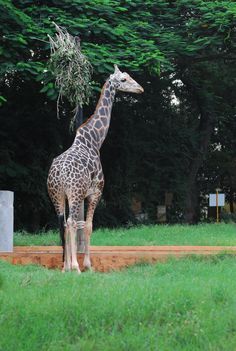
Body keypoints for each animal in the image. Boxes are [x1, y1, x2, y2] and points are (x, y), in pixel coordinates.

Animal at [47, 64, 144, 274]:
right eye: (123, 79)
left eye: (129, 76)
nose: (140, 88)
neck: (95, 141)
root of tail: (59, 174)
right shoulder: (95, 192)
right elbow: (88, 225)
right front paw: (87, 265)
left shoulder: (80, 194)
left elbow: (79, 225)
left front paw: (73, 265)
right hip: (73, 194)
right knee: (70, 223)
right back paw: (74, 267)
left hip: (57, 195)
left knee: (62, 223)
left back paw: (64, 267)